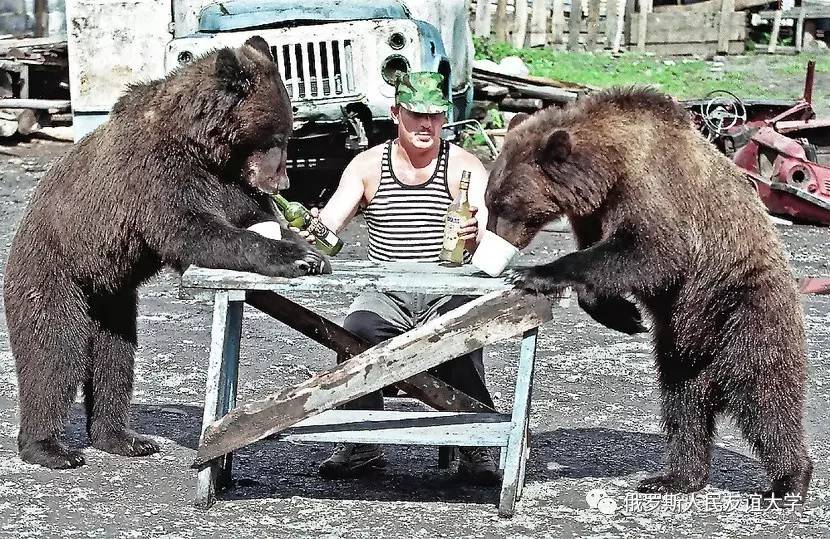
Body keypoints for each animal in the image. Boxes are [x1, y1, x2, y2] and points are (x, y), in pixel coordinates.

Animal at [3, 35, 330, 470]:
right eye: (277, 137)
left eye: (287, 134)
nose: (283, 181)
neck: (200, 146)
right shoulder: (154, 176)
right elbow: (193, 231)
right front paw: (297, 257)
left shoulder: (225, 182)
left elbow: (248, 215)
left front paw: (308, 245)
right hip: (53, 273)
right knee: (54, 352)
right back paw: (50, 448)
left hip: (112, 299)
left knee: (115, 359)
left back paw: (125, 438)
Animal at [488, 87, 812, 502]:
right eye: (490, 198)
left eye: (505, 203)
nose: (492, 239)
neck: (608, 170)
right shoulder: (593, 213)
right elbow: (605, 262)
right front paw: (625, 315)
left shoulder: (653, 189)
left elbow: (655, 252)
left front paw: (534, 272)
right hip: (680, 345)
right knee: (683, 404)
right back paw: (673, 477)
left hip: (743, 310)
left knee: (765, 393)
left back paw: (788, 480)